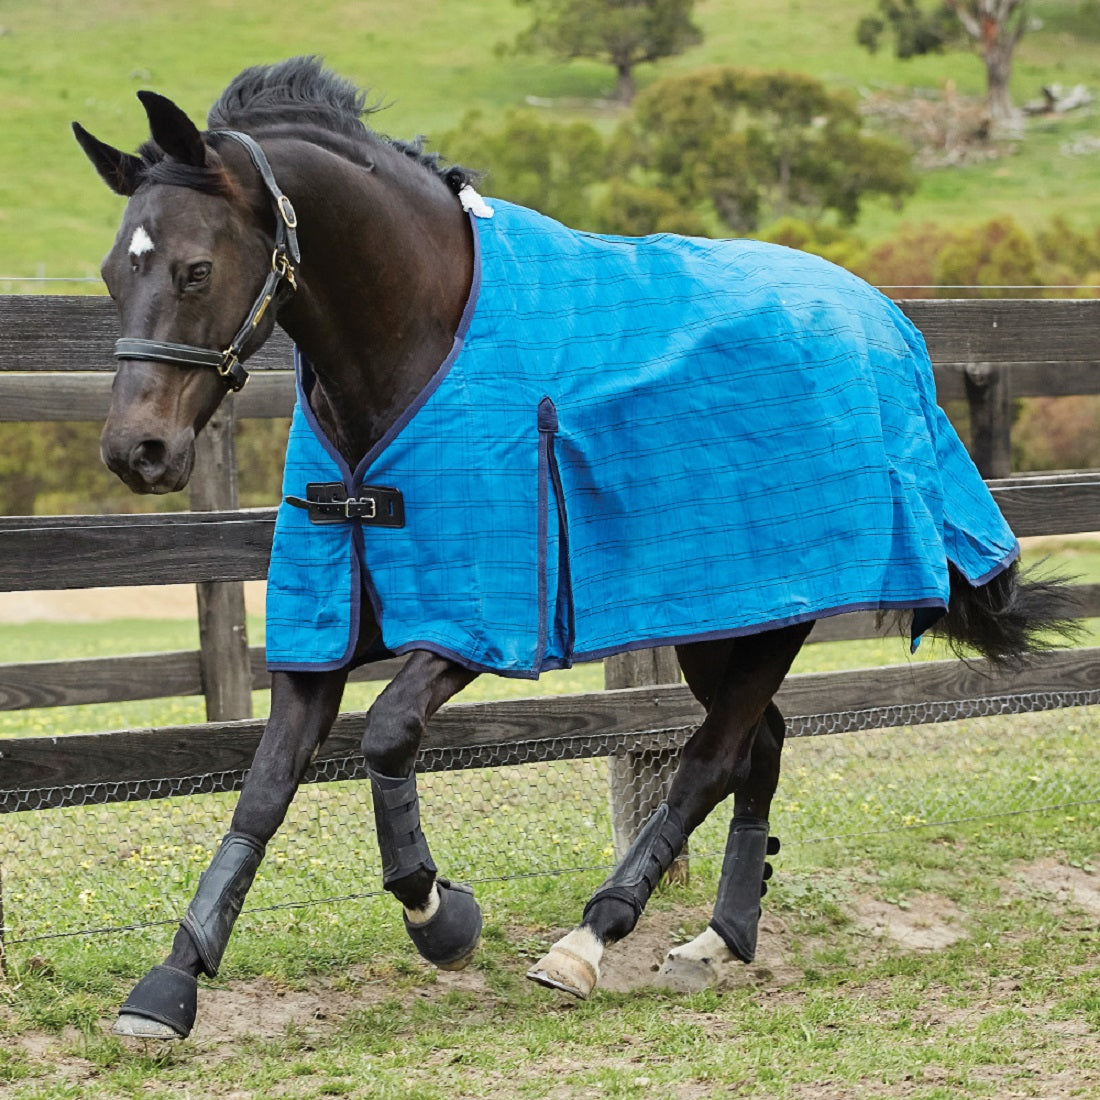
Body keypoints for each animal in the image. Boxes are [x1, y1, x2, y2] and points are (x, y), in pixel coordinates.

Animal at [72, 57, 1072, 1041]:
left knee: (711, 760)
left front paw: (440, 916)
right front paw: (170, 985)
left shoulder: (476, 619)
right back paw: (718, 939)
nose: (137, 452)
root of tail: (886, 321)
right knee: (760, 745)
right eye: (114, 274)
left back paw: (590, 940)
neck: (419, 334)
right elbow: (263, 792)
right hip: (719, 620)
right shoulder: (320, 629)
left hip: (775, 613)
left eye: (196, 270)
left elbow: (390, 736)